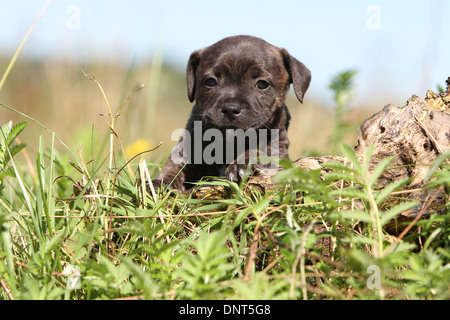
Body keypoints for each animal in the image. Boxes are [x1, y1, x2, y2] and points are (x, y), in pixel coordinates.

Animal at [153, 35, 312, 190]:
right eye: (210, 81)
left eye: (262, 84)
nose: (230, 109)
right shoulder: (188, 144)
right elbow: (175, 165)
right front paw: (162, 182)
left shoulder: (278, 147)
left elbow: (261, 151)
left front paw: (242, 164)